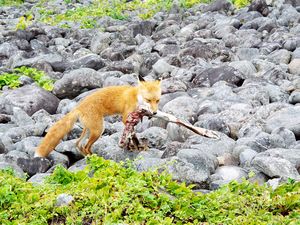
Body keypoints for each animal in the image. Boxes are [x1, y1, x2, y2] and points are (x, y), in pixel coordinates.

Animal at [34, 78, 162, 158]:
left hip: (89, 129)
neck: (136, 96)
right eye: (148, 100)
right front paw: (134, 145)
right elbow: (131, 133)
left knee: (78, 144)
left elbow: (133, 134)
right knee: (86, 146)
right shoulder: (126, 117)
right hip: (98, 130)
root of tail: (78, 107)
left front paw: (135, 145)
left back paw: (89, 158)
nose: (155, 112)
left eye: (157, 100)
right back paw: (96, 159)